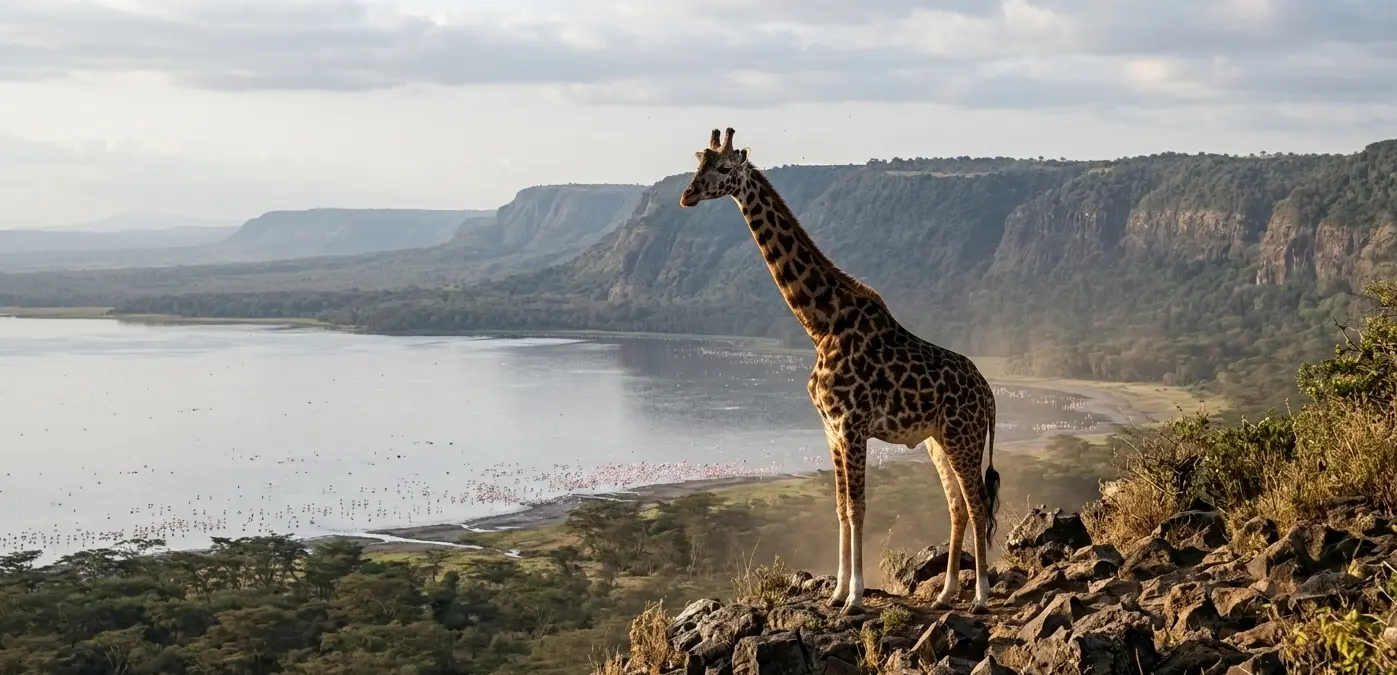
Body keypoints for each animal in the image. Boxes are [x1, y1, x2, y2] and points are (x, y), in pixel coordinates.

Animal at [679, 128, 1001, 613]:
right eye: (697, 162)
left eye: (723, 167)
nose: (687, 195)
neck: (821, 324)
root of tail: (990, 395)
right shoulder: (830, 428)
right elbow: (839, 507)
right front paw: (835, 592)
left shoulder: (852, 425)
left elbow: (857, 507)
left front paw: (855, 597)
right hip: (938, 441)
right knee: (957, 505)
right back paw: (946, 594)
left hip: (964, 436)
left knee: (978, 502)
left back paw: (980, 596)